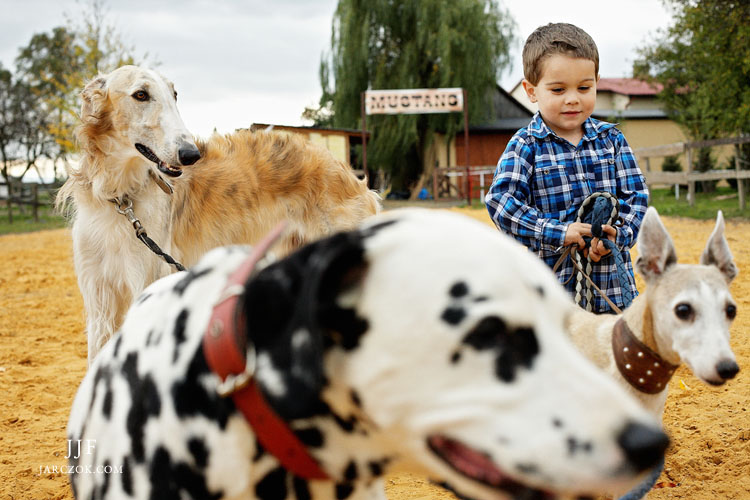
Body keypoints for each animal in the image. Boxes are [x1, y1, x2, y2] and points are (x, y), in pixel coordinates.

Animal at [57, 66, 382, 364]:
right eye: (140, 94)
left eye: (174, 95)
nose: (190, 154)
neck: (123, 199)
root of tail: (352, 176)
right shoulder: (99, 298)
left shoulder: (148, 281)